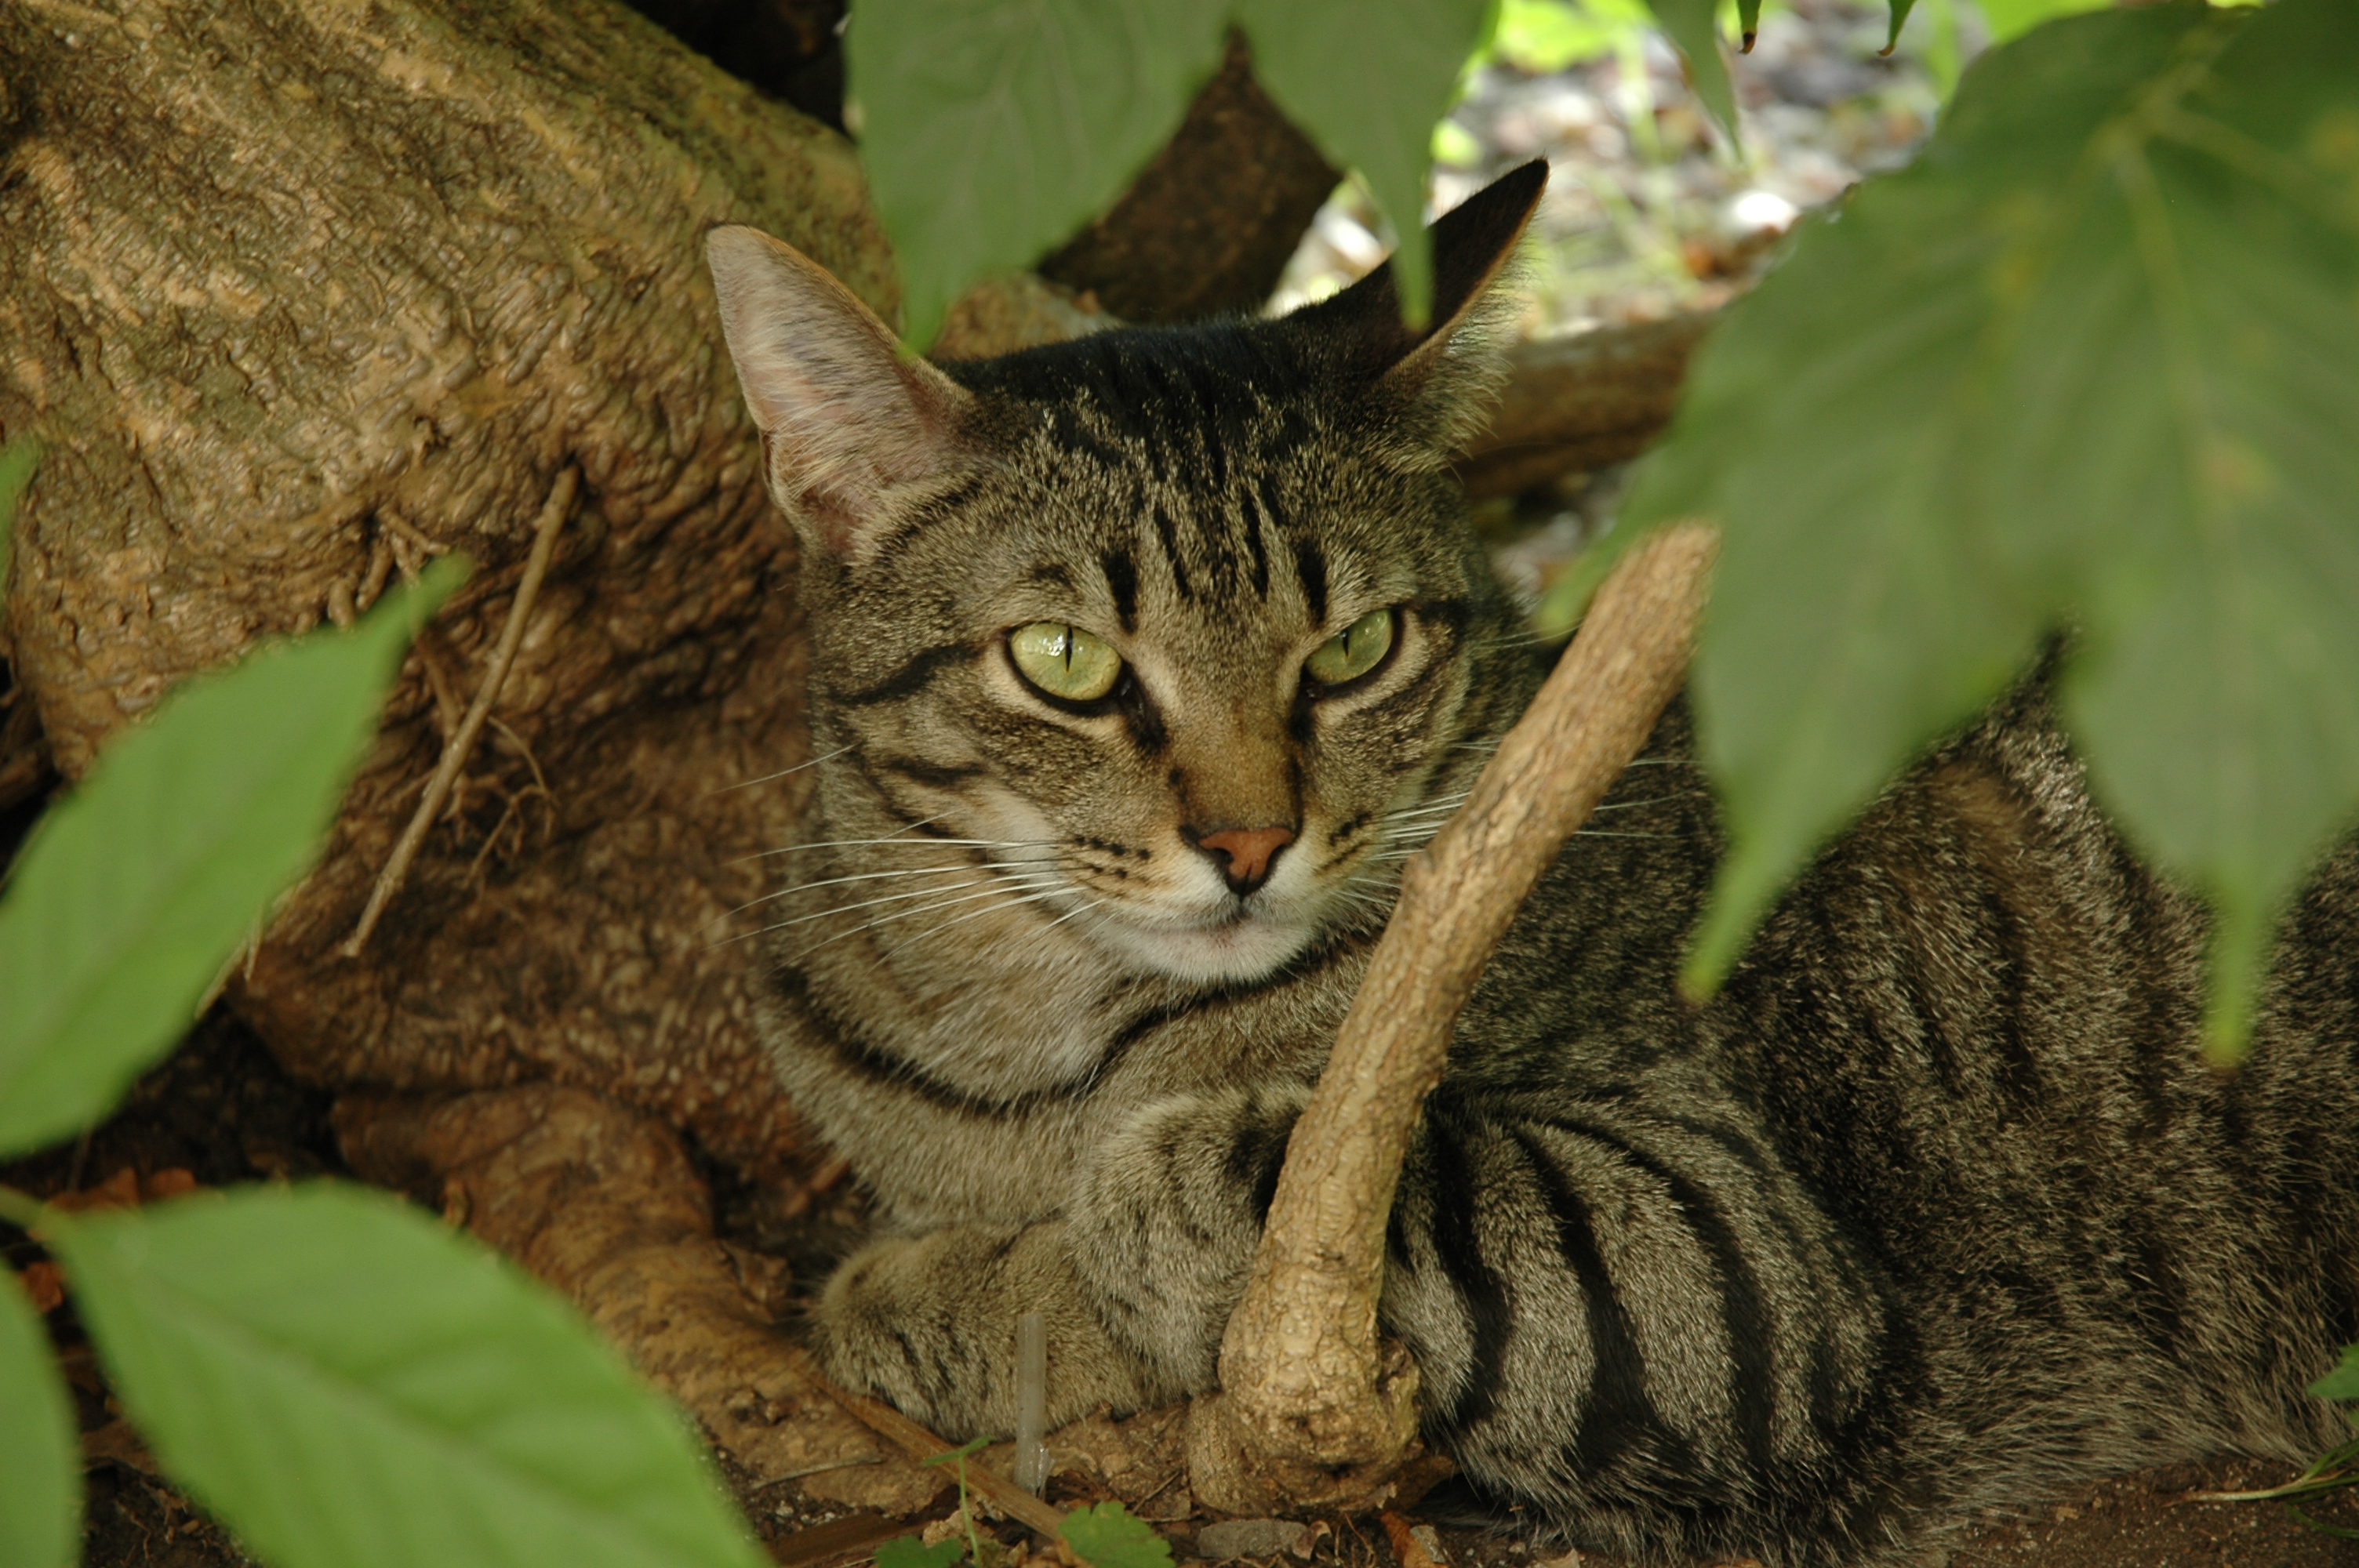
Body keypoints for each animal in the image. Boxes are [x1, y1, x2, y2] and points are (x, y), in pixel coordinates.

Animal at [707, 165, 2359, 1555]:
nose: (1247, 844)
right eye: (1064, 664)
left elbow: (1232, 1195)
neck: (1029, 1054)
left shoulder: (1743, 1267)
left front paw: (1024, 1278)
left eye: (1355, 651)